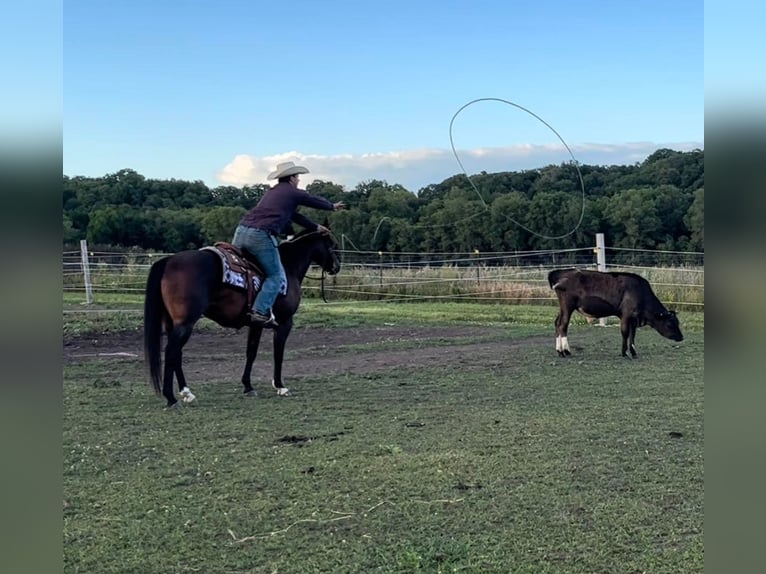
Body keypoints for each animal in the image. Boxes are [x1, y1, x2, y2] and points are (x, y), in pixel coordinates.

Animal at [142, 230, 340, 410]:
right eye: (331, 244)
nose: (337, 266)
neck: (288, 265)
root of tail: (169, 261)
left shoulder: (256, 324)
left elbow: (251, 352)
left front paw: (248, 386)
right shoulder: (284, 323)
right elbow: (278, 354)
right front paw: (280, 386)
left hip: (173, 323)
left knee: (176, 353)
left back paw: (186, 392)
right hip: (185, 323)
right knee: (171, 352)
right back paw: (171, 398)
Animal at [552, 268, 684, 358]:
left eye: (678, 323)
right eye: (670, 324)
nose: (681, 337)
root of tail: (562, 272)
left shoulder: (634, 319)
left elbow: (632, 335)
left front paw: (633, 352)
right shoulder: (626, 315)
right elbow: (625, 333)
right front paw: (624, 353)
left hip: (562, 308)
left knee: (557, 323)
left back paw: (559, 350)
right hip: (568, 305)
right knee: (563, 325)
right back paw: (565, 351)